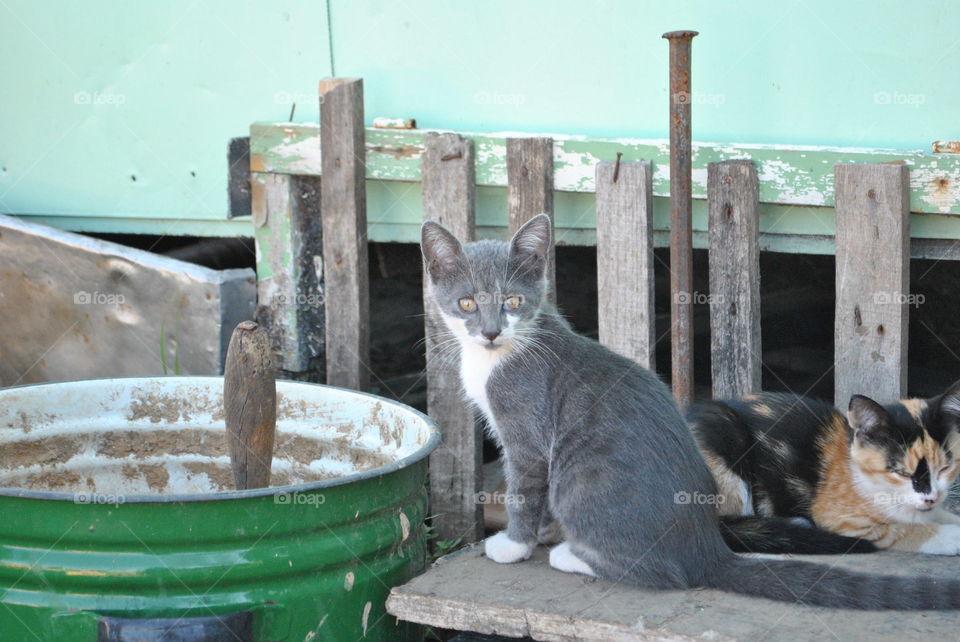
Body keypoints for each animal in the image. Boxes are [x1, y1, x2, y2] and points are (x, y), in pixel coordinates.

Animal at [688, 384, 960, 556]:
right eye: (902, 473)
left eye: (945, 467)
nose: (930, 497)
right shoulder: (841, 520)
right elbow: (902, 529)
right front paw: (950, 536)